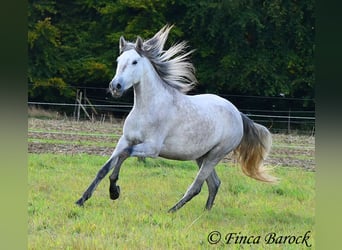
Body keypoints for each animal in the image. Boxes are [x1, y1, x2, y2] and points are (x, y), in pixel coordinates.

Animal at [75, 24, 278, 211]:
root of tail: (238, 114)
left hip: (215, 155)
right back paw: (205, 212)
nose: (115, 86)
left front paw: (114, 191)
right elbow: (105, 167)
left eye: (134, 62)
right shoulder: (125, 140)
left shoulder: (151, 148)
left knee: (197, 186)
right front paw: (82, 200)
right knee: (214, 184)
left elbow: (124, 155)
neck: (147, 108)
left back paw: (172, 210)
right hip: (202, 156)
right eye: (118, 60)